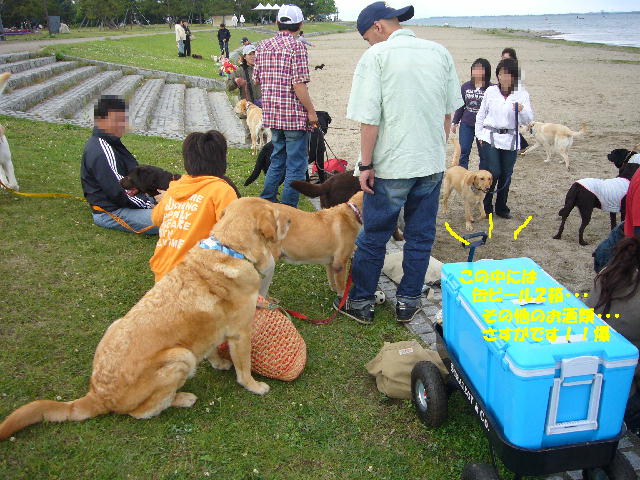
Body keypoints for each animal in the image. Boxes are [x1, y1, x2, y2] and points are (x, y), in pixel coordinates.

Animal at [0, 197, 290, 440]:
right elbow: (244, 368)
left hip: (117, 325)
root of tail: (98, 394)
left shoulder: (211, 331)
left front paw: (219, 363)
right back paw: (182, 398)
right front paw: (254, 386)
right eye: (277, 214)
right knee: (142, 412)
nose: (291, 218)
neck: (230, 249)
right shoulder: (241, 334)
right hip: (180, 357)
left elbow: (210, 349)